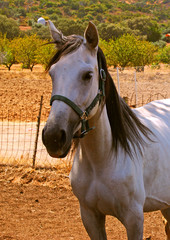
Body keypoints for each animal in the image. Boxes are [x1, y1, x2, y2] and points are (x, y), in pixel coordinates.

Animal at [42, 21, 170, 240]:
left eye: (87, 75)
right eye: (52, 74)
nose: (52, 137)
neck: (102, 158)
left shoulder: (134, 219)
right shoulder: (90, 216)